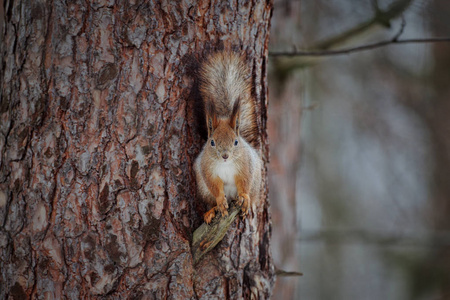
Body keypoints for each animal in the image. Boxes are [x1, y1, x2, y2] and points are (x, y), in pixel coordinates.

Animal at [194, 51, 264, 224]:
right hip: (203, 190)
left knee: (252, 196)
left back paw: (247, 205)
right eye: (212, 142)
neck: (226, 164)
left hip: (257, 184)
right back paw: (212, 211)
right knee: (211, 199)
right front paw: (220, 201)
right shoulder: (207, 169)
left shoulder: (245, 166)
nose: (225, 156)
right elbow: (215, 186)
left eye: (236, 142)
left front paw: (244, 197)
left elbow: (244, 182)